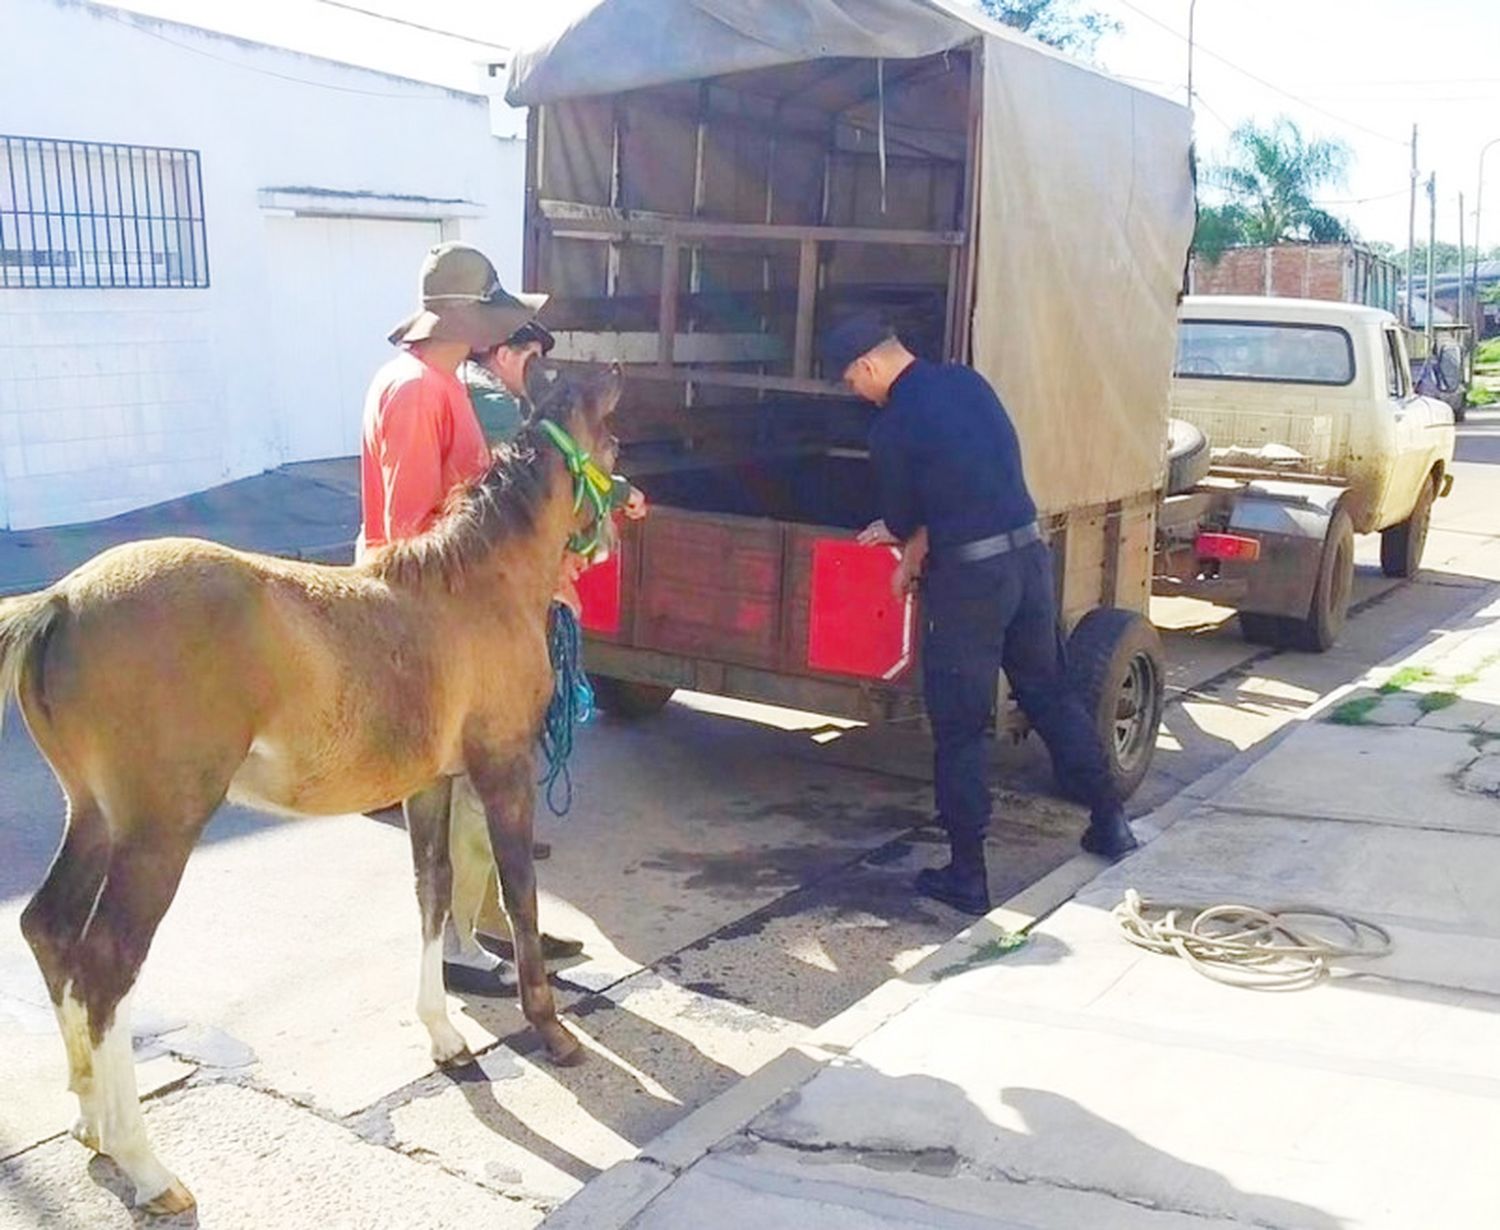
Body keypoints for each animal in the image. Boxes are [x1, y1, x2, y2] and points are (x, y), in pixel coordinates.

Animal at [0, 364, 621, 1212]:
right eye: (615, 441)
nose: (626, 520)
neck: (473, 589)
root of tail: (58, 601)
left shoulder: (430, 783)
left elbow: (431, 893)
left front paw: (444, 1037)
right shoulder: (503, 769)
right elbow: (519, 894)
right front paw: (551, 1030)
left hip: (94, 814)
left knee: (50, 927)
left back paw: (91, 1120)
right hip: (160, 828)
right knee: (105, 962)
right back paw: (145, 1164)